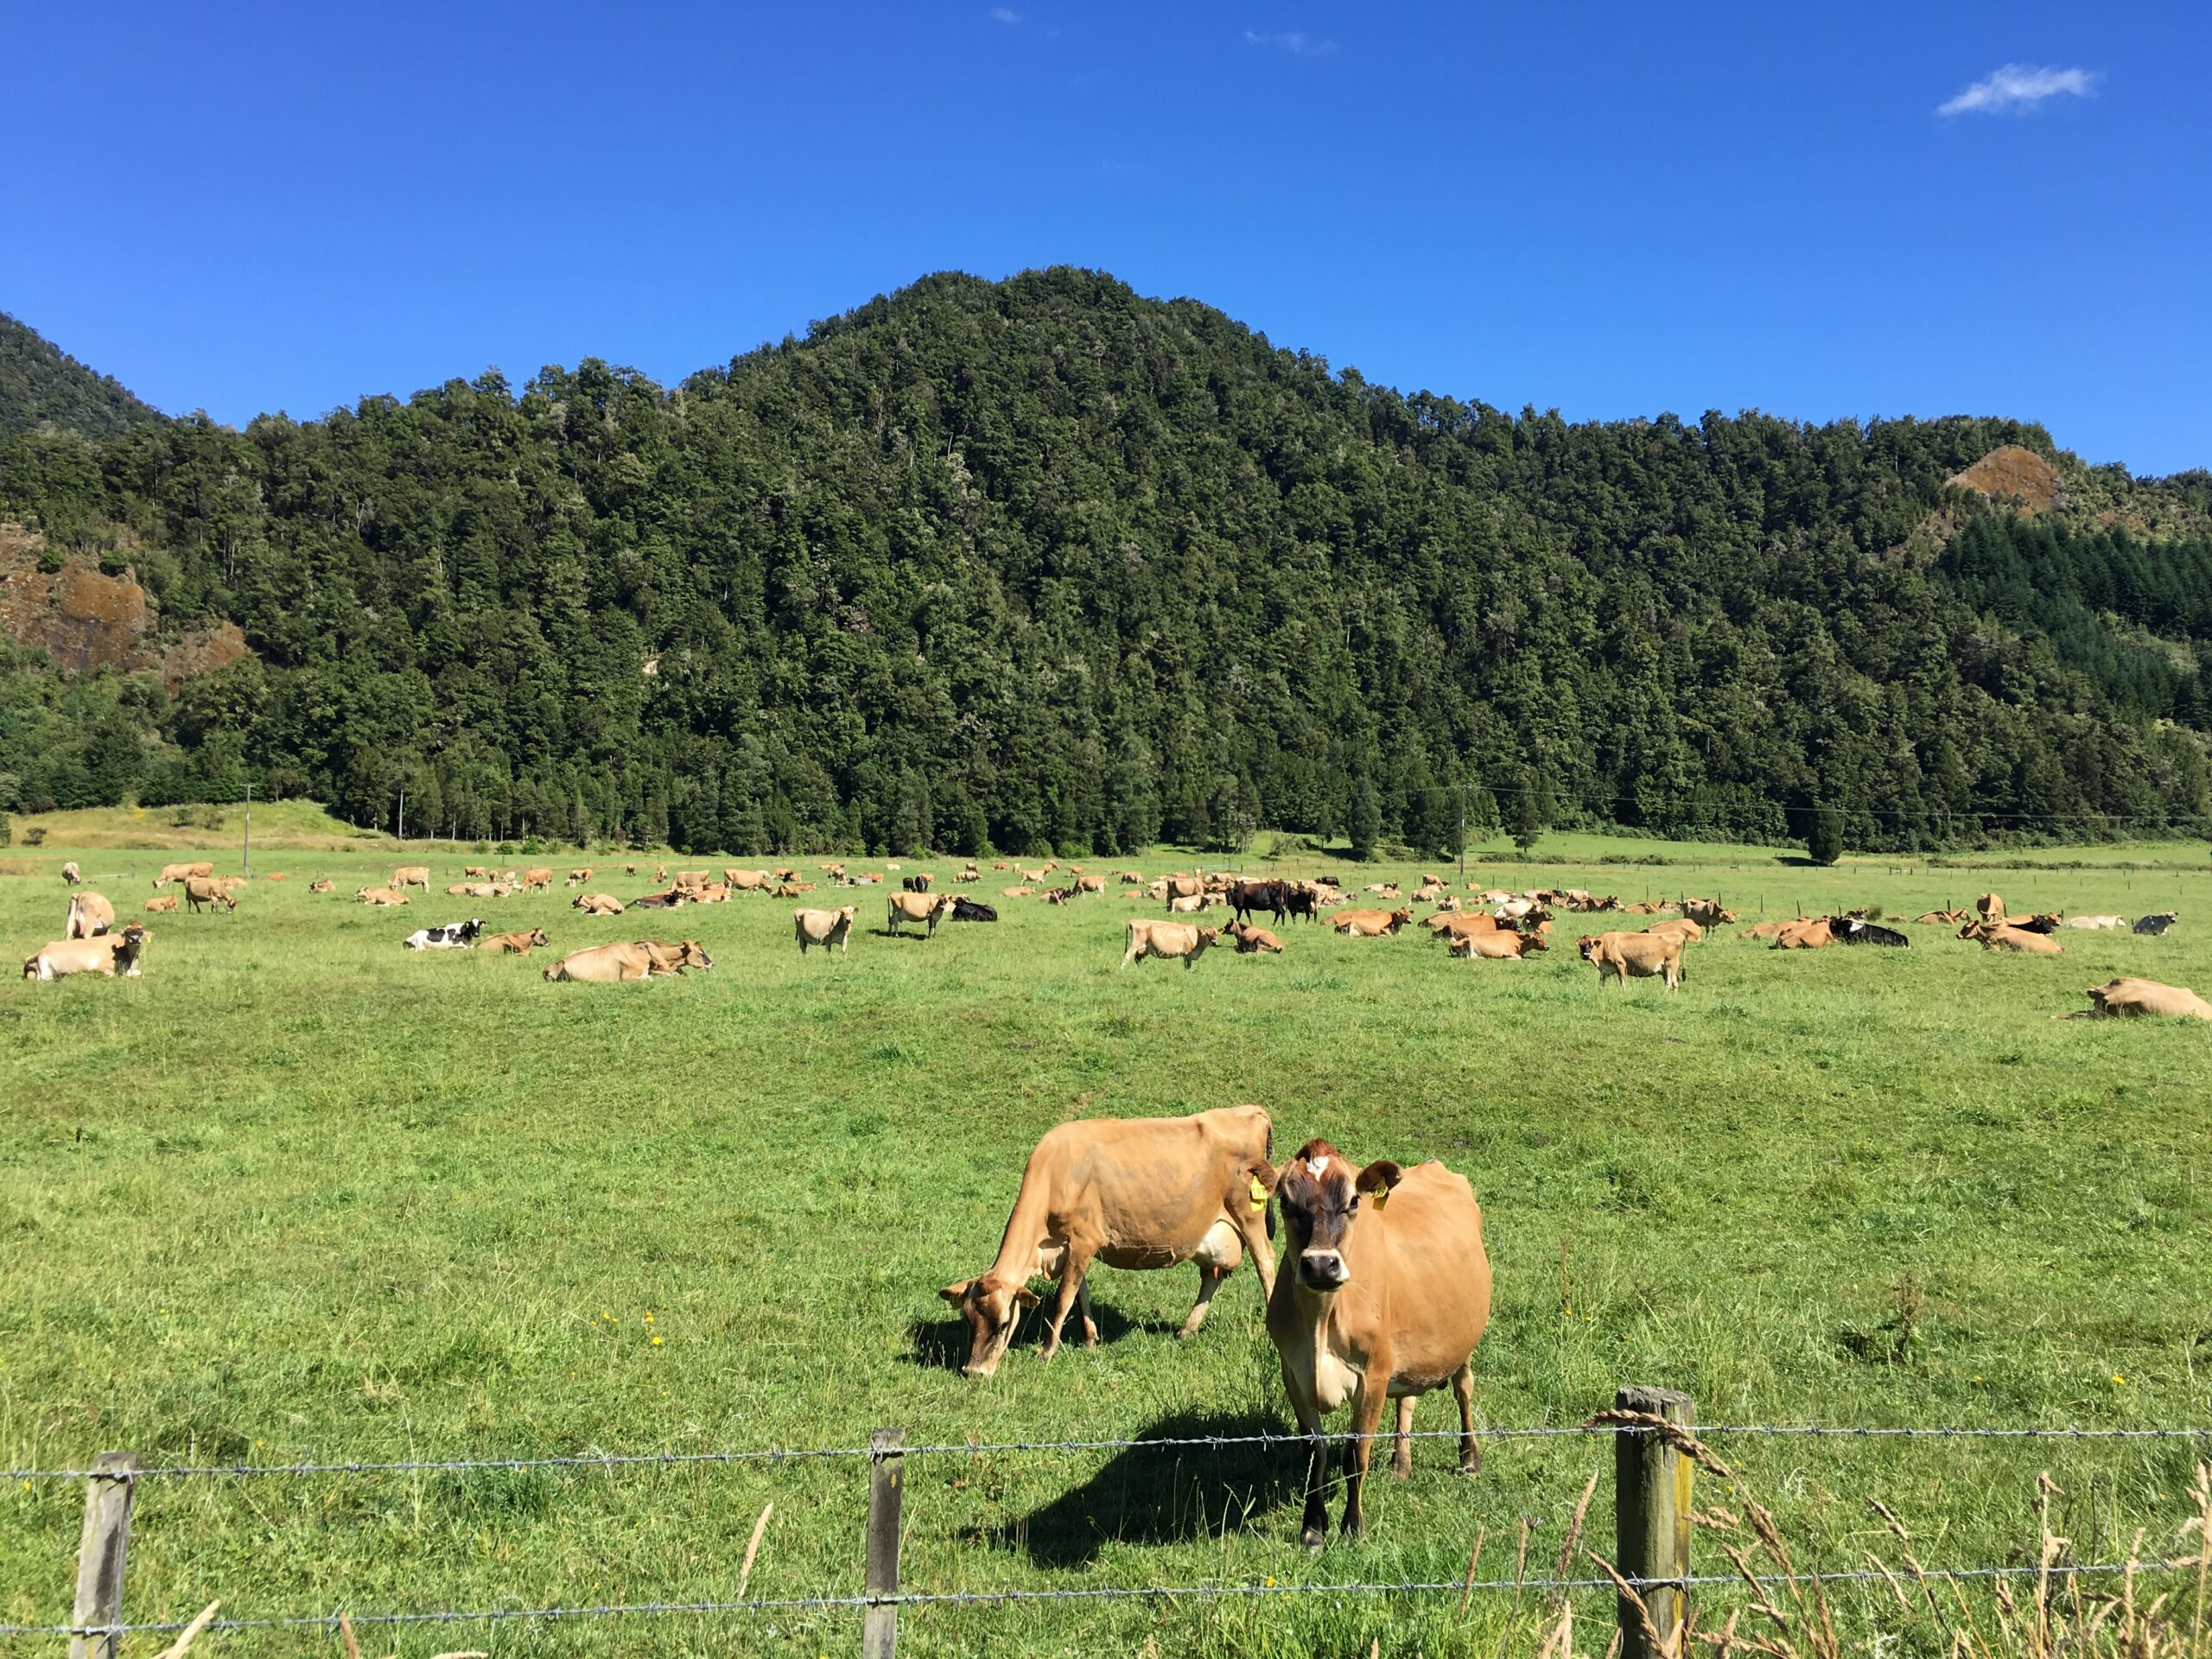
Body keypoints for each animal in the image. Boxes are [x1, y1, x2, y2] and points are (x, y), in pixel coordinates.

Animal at [24, 924, 149, 982]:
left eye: (141, 932)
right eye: (127, 932)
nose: (135, 939)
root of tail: (42, 950)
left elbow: (139, 973)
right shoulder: (104, 968)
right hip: (47, 971)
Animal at [939, 1106, 1278, 1378]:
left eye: (1002, 1324)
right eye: (968, 1321)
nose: (973, 1371)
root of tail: (1250, 1110)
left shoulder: (1084, 1240)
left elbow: (1063, 1298)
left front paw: (1047, 1351)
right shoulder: (1072, 1247)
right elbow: (1080, 1293)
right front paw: (1090, 1339)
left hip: (1248, 1215)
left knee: (1266, 1262)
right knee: (1212, 1277)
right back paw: (1186, 1329)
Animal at [1267, 1140, 1490, 1549]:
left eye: (1354, 1201)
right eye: (1286, 1202)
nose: (1320, 1264)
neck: (1320, 1321)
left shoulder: (1372, 1375)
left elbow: (1356, 1454)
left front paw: (1353, 1528)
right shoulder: (1293, 1373)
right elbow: (1314, 1453)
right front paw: (1312, 1528)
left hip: (1465, 1340)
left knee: (1464, 1389)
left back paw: (1469, 1457)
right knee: (1408, 1398)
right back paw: (1401, 1462)